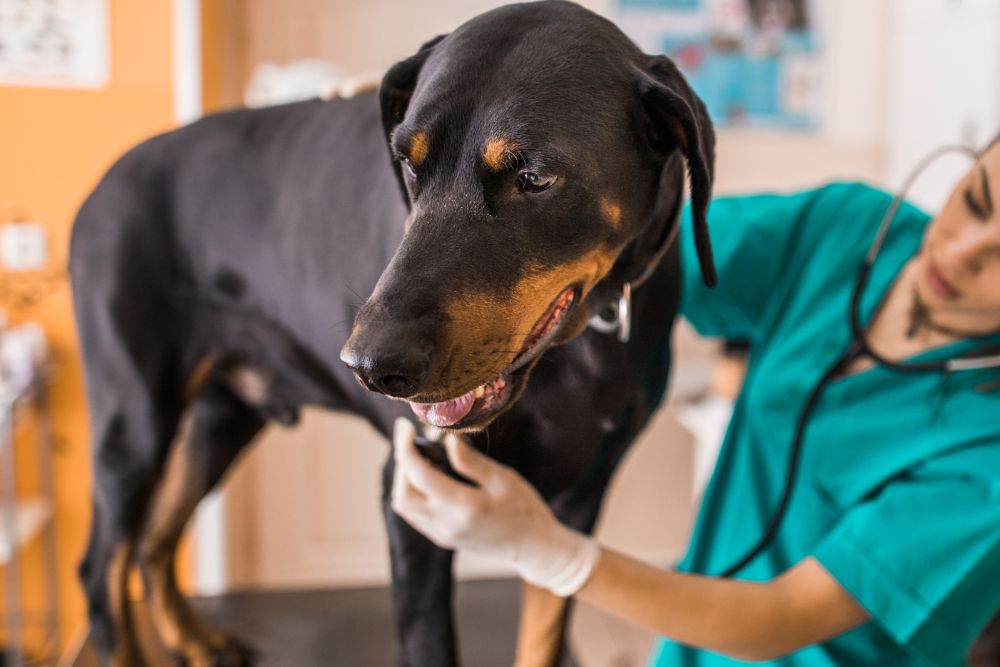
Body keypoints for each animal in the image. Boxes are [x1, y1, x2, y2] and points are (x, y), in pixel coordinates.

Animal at [68, 2, 712, 664]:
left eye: (534, 178)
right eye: (408, 163)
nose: (369, 367)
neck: (577, 349)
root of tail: (100, 185)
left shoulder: (572, 512)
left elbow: (543, 632)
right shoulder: (412, 499)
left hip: (221, 419)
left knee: (153, 541)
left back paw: (196, 640)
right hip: (133, 423)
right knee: (102, 569)